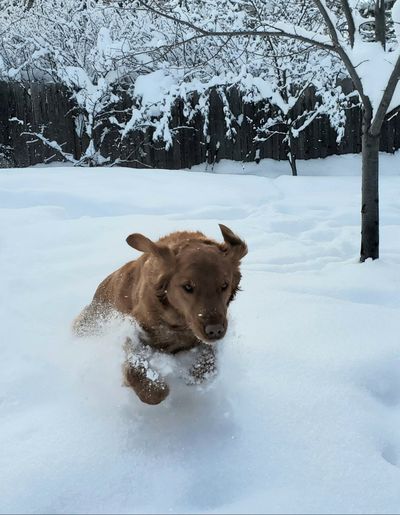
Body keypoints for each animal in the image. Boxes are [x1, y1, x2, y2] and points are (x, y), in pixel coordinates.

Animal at [73, 224, 245, 406]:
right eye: (188, 287)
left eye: (224, 285)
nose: (215, 330)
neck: (177, 323)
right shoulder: (135, 330)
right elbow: (143, 381)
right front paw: (154, 387)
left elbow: (207, 367)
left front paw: (193, 373)